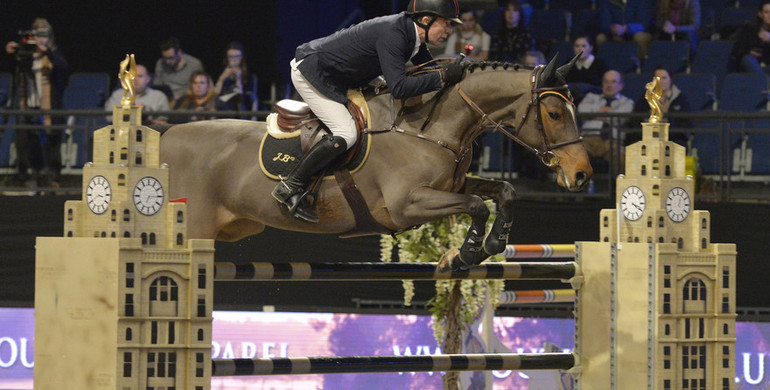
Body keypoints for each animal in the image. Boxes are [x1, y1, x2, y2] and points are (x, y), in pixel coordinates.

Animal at [158, 54, 588, 272]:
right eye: (554, 113)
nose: (582, 174)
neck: (427, 124)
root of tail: (163, 137)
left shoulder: (451, 184)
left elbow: (504, 190)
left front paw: (493, 243)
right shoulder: (406, 205)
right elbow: (476, 205)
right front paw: (467, 252)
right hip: (192, 230)